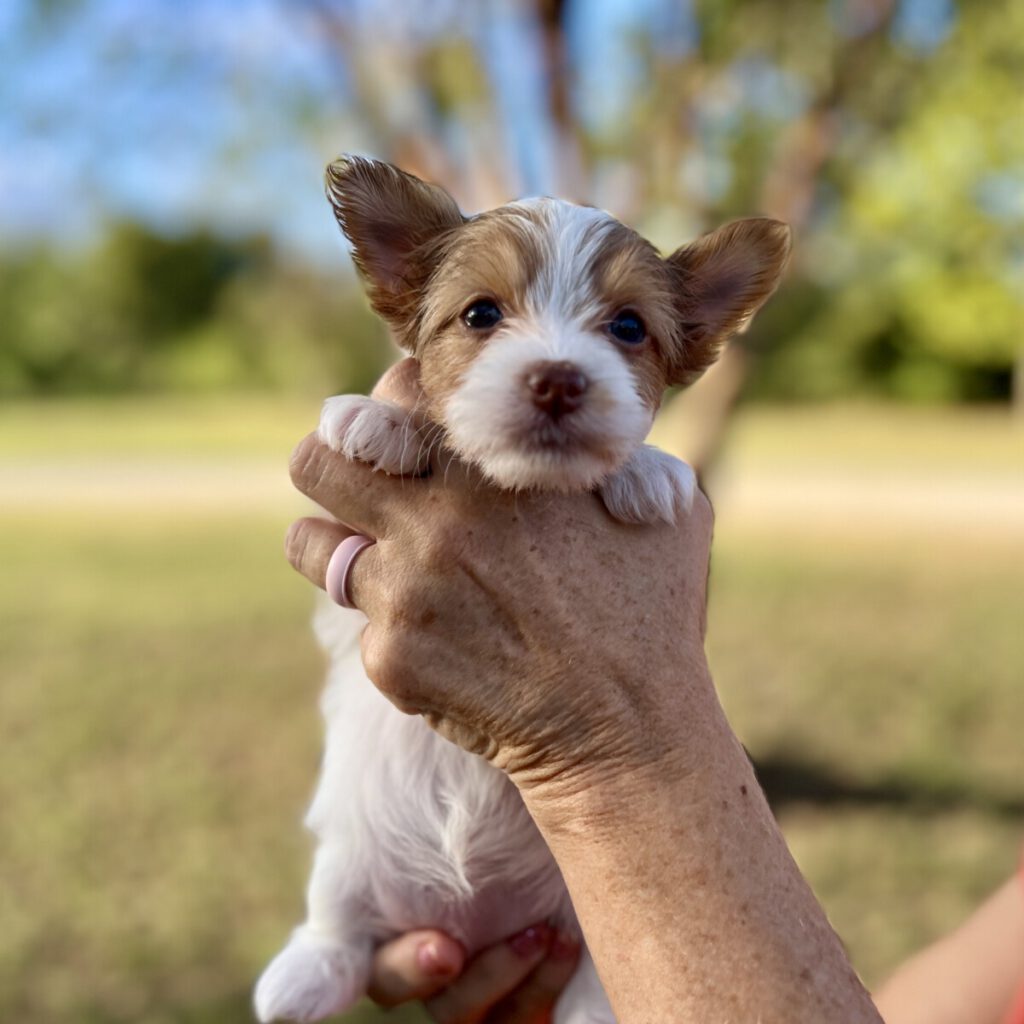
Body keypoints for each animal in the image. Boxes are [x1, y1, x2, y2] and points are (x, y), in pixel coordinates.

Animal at [251, 155, 786, 1019]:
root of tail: (467, 920)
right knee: (338, 926)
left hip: (583, 933)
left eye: (628, 328)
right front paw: (381, 421)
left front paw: (649, 468)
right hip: (345, 854)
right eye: (480, 314)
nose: (559, 379)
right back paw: (303, 976)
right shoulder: (344, 592)